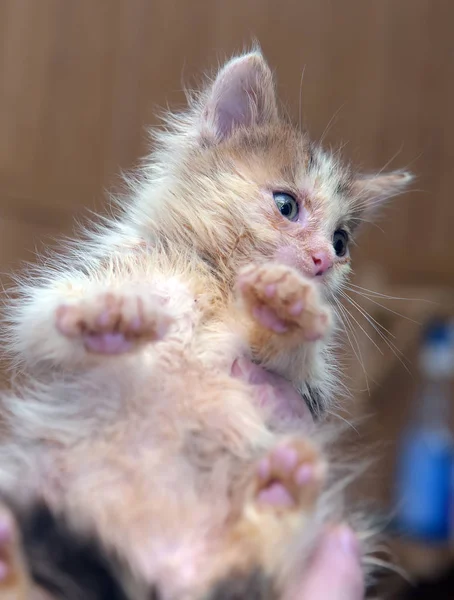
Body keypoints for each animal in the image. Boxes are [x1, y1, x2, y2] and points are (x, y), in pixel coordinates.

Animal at [0, 49, 412, 596]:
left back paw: (282, 490)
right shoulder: (99, 276)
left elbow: (293, 356)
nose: (324, 260)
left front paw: (285, 309)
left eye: (342, 241)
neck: (218, 279)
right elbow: (43, 322)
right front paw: (107, 316)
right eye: (287, 205)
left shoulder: (308, 388)